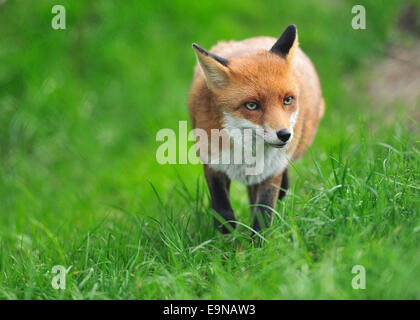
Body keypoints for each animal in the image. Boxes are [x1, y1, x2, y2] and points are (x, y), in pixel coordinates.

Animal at [188, 25, 324, 234]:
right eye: (251, 105)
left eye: (288, 100)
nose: (285, 135)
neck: (246, 157)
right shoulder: (212, 163)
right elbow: (222, 209)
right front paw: (227, 234)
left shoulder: (271, 173)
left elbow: (263, 216)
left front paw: (257, 242)